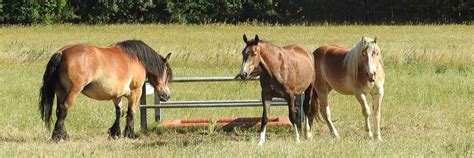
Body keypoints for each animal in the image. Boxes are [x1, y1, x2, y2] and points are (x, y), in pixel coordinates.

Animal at [38, 39, 172, 141]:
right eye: (166, 73)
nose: (166, 95)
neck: (136, 58)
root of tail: (62, 53)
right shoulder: (136, 92)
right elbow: (131, 112)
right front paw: (130, 134)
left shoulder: (117, 95)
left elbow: (119, 112)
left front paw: (114, 133)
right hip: (73, 91)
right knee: (64, 108)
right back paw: (57, 136)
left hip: (61, 91)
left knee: (59, 110)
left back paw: (64, 135)